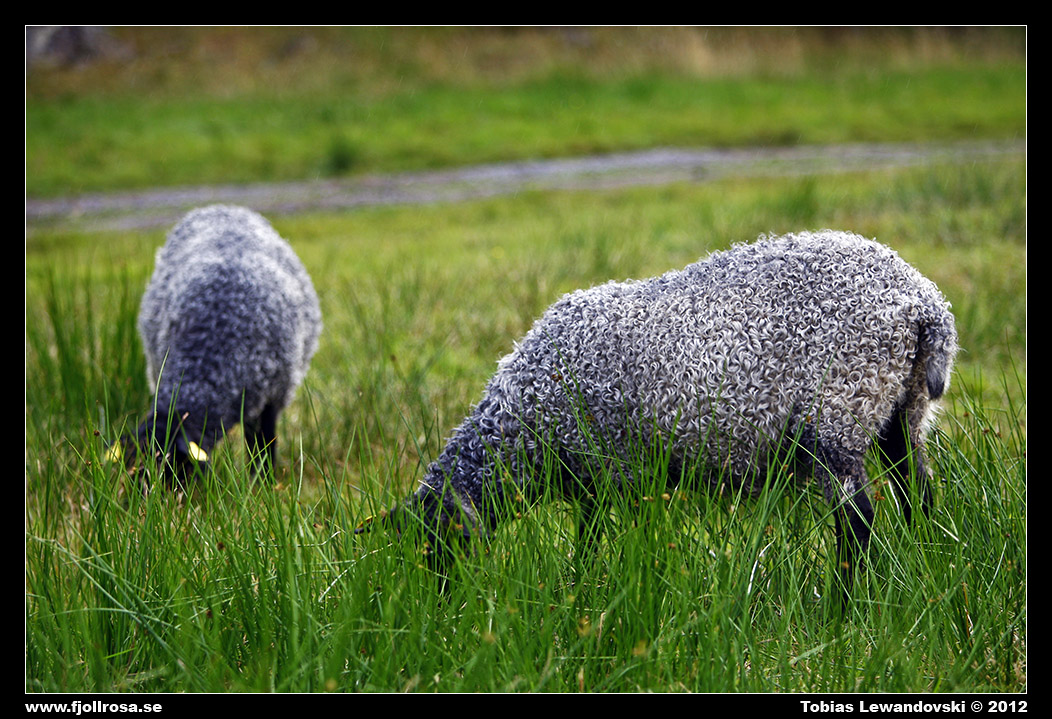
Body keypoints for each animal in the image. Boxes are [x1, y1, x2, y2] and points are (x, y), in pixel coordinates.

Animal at [364, 230, 957, 601]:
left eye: (438, 547)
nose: (444, 602)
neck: (526, 424)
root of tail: (925, 305)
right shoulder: (602, 477)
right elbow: (591, 538)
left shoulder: (612, 468)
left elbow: (596, 541)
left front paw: (588, 593)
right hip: (900, 411)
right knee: (919, 494)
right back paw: (928, 569)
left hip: (838, 415)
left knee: (857, 524)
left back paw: (839, 607)